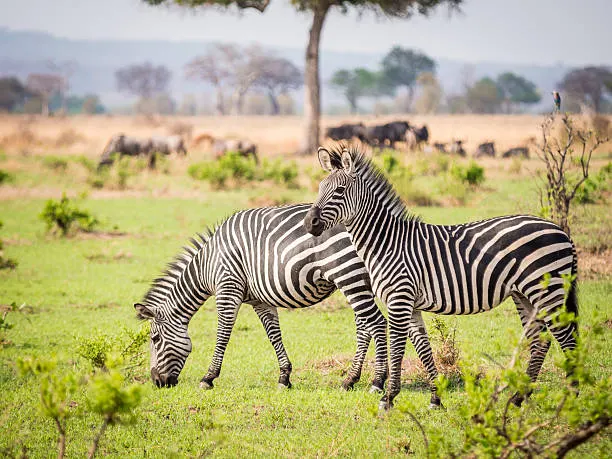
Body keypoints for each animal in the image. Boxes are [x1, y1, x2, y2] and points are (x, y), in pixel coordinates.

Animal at [135, 205, 388, 396]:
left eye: (155, 339)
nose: (157, 382)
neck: (208, 264)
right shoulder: (260, 301)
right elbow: (273, 334)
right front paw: (284, 377)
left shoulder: (227, 288)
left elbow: (223, 334)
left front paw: (208, 377)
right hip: (358, 279)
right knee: (364, 326)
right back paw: (350, 380)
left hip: (348, 273)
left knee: (375, 323)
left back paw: (377, 382)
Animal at [304, 146, 580, 412]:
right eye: (319, 188)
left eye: (339, 190)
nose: (309, 223)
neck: (386, 243)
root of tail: (560, 230)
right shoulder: (410, 304)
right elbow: (423, 348)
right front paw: (435, 399)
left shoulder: (399, 300)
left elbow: (397, 349)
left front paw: (387, 398)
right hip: (525, 294)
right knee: (540, 342)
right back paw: (518, 398)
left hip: (548, 290)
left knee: (567, 338)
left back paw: (572, 397)